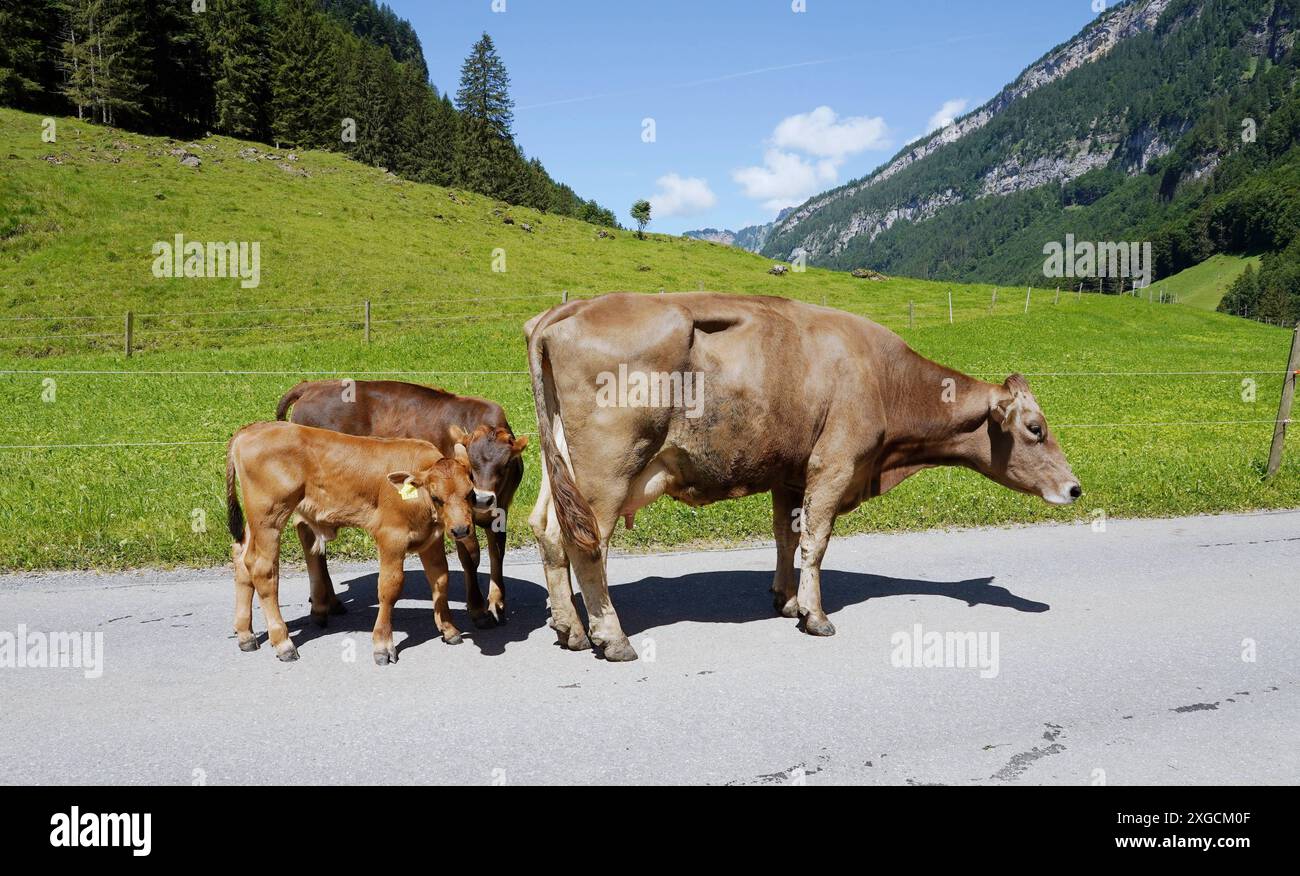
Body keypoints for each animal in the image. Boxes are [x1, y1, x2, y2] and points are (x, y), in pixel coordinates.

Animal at [225, 420, 477, 664]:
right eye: (436, 497)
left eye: (470, 493)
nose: (461, 529)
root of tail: (251, 429)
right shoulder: (391, 537)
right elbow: (389, 587)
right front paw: (383, 645)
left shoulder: (431, 539)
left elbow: (440, 579)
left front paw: (449, 629)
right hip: (269, 517)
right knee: (263, 570)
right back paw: (283, 642)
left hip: (256, 521)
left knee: (243, 557)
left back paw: (246, 634)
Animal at [275, 380, 527, 629]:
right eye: (471, 465)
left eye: (506, 464)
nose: (483, 498)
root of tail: (313, 385)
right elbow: (471, 557)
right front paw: (477, 610)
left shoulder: (501, 509)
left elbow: (497, 554)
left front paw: (497, 604)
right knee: (308, 532)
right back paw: (324, 604)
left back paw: (331, 602)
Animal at [525, 292, 1081, 662]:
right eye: (1035, 428)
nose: (1075, 488)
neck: (885, 379)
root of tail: (566, 310)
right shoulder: (833, 466)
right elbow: (816, 543)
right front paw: (815, 616)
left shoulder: (789, 473)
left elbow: (786, 537)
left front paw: (787, 600)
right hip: (608, 473)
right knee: (587, 546)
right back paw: (611, 637)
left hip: (563, 469)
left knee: (548, 532)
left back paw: (569, 628)